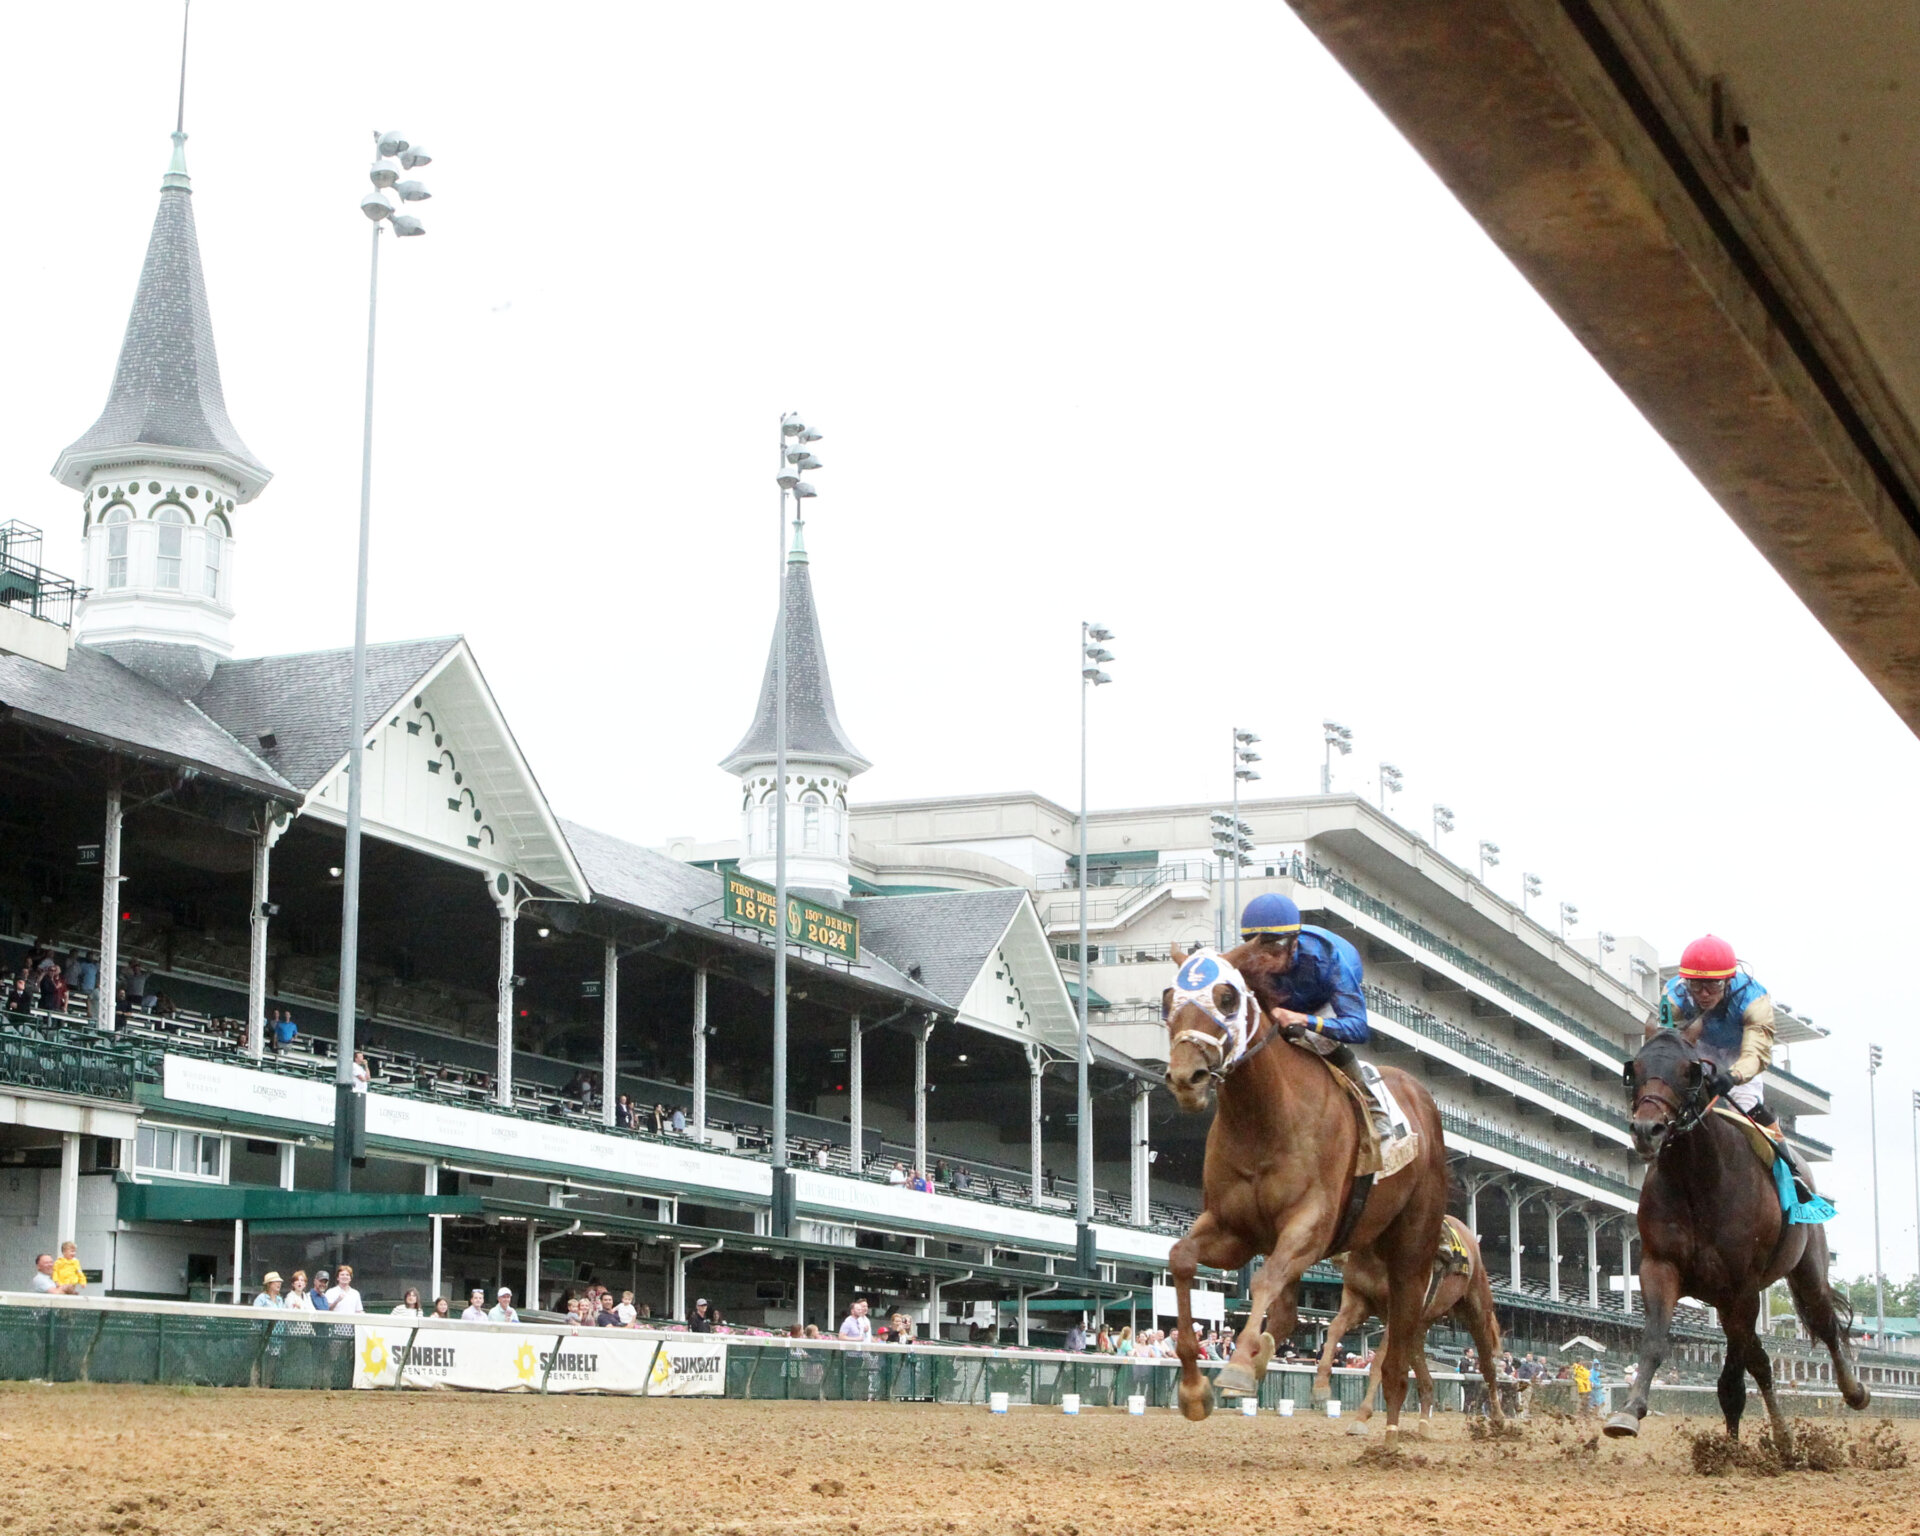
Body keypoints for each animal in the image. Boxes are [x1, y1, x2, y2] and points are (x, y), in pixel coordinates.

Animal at [1159, 940, 1443, 1436]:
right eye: (1167, 999)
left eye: (1227, 997)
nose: (1185, 1078)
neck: (1265, 1118)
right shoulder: (1235, 1230)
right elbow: (1181, 1258)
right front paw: (1195, 1390)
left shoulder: (1312, 1226)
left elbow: (1266, 1278)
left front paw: (1237, 1367)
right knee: (1291, 1312)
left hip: (1412, 1246)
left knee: (1401, 1333)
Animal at [1313, 1213, 1505, 1428]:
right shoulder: (1357, 1298)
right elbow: (1335, 1328)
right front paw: (1321, 1386)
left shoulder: (1396, 1313)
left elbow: (1379, 1362)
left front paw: (1362, 1416)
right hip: (1419, 1326)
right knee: (1426, 1379)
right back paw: (1423, 1426)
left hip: (1477, 1312)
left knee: (1488, 1366)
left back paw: (1499, 1417)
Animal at [1597, 1029, 1866, 1451]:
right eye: (1634, 1069)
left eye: (1689, 1071)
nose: (1646, 1130)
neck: (1698, 1179)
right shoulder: (1660, 1266)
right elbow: (1656, 1340)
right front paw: (1629, 1412)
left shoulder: (1742, 1287)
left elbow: (1733, 1377)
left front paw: (1729, 1448)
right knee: (1763, 1361)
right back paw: (1783, 1435)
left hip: (1805, 1271)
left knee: (1825, 1324)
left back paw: (1853, 1392)